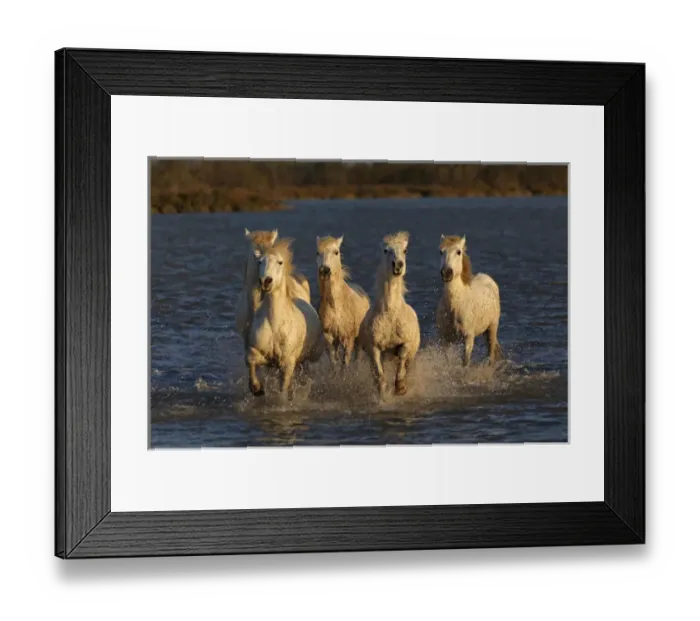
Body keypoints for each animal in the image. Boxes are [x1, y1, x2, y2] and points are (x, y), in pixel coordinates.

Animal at [246, 239, 324, 399]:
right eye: (260, 261)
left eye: (280, 262)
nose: (266, 281)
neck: (274, 324)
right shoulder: (260, 354)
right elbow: (250, 361)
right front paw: (257, 388)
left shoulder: (287, 363)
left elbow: (283, 388)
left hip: (312, 355)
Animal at [316, 235, 370, 366]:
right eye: (317, 252)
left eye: (336, 252)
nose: (324, 270)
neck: (336, 307)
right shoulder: (329, 337)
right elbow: (334, 362)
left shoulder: (348, 338)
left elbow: (345, 363)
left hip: (359, 339)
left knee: (358, 356)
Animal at [359, 231, 420, 397]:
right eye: (386, 250)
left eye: (405, 251)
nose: (398, 265)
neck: (391, 314)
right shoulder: (374, 348)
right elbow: (379, 374)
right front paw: (383, 392)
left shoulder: (405, 343)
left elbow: (401, 361)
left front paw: (400, 387)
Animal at [436, 235, 503, 366]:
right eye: (441, 252)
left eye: (458, 252)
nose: (446, 273)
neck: (455, 305)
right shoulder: (445, 339)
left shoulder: (468, 338)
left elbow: (465, 363)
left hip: (492, 328)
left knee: (491, 354)